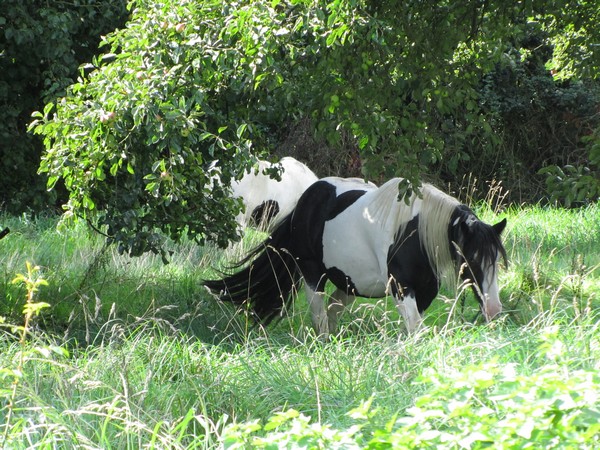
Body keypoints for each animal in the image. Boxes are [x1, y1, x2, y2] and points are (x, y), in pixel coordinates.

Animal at [205, 178, 506, 336]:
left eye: (496, 262)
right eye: (471, 259)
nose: (493, 310)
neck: (414, 233)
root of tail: (307, 199)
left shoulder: (425, 293)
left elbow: (414, 330)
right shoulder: (401, 289)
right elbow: (415, 329)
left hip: (350, 284)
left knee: (332, 310)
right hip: (313, 275)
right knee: (319, 315)